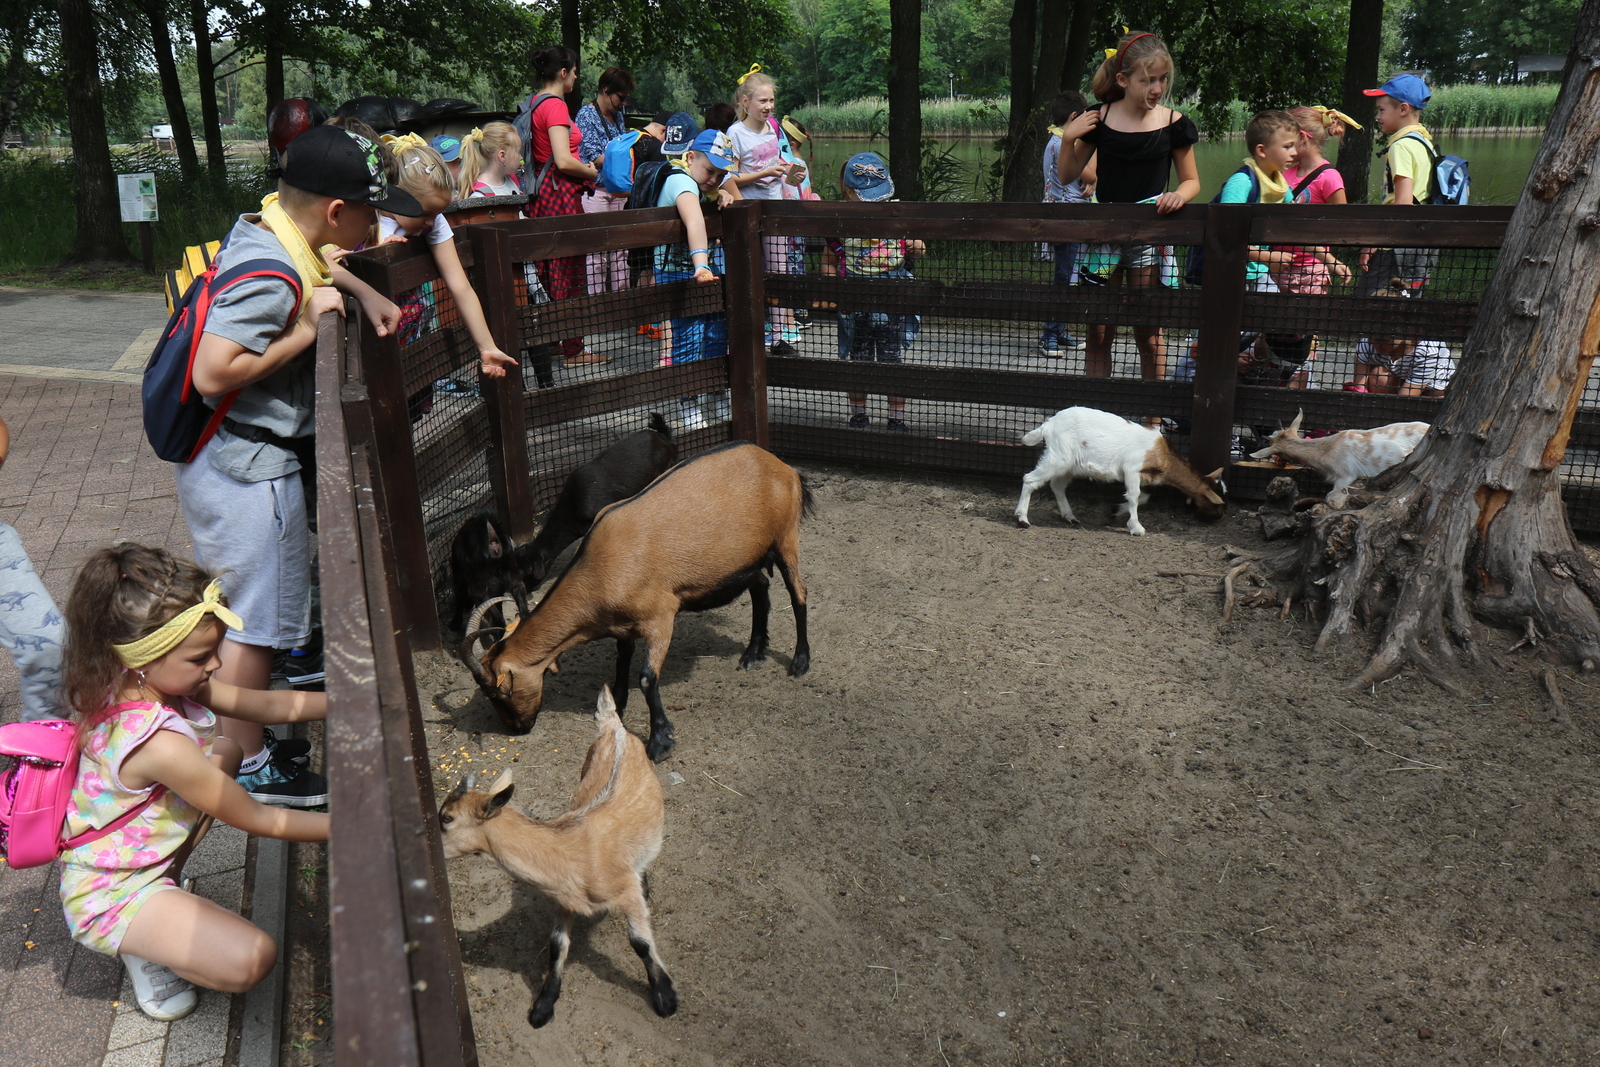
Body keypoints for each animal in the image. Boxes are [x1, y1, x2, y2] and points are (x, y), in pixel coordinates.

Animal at [438, 687, 675, 1030]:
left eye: (446, 818)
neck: (571, 849)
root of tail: (613, 726)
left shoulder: (624, 892)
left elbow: (641, 943)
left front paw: (666, 998)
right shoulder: (565, 898)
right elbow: (557, 945)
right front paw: (543, 1006)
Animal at [467, 441, 806, 758]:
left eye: (499, 693)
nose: (517, 728)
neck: (601, 563)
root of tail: (782, 466)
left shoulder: (661, 617)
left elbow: (646, 678)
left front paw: (659, 742)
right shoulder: (621, 625)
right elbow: (621, 660)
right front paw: (615, 705)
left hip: (786, 537)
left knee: (798, 594)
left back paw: (800, 662)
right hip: (744, 563)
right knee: (760, 585)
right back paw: (753, 653)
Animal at [1011, 404, 1222, 534]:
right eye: (1216, 503)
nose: (1218, 519)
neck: (1161, 454)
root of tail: (1049, 424)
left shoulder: (1143, 477)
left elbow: (1142, 497)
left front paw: (1115, 511)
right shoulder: (1132, 468)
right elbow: (1135, 496)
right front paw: (1136, 528)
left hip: (1069, 464)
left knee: (1057, 485)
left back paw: (1070, 517)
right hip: (1058, 457)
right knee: (1030, 479)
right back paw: (1022, 519)